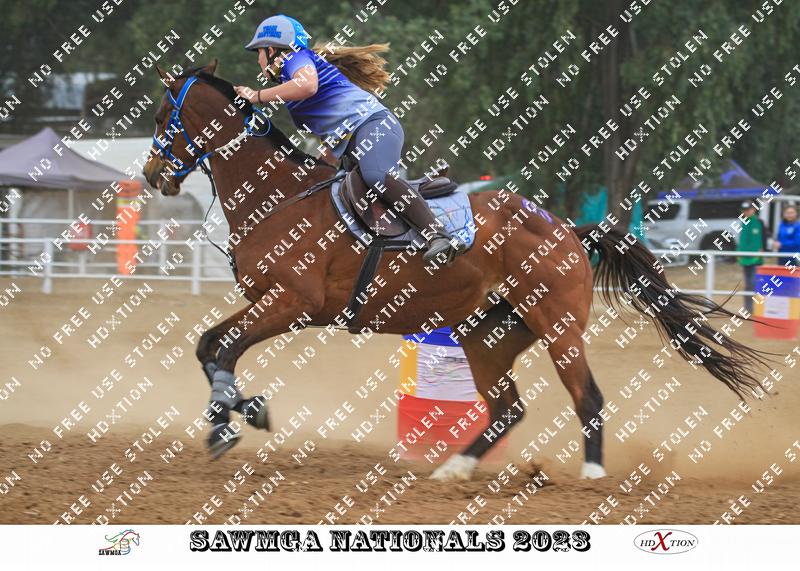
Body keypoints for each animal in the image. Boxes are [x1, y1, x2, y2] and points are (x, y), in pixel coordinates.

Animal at [143, 61, 769, 481]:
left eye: (162, 115)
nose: (153, 176)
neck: (278, 197)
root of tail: (569, 227)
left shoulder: (291, 304)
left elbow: (223, 348)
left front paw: (233, 417)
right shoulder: (269, 303)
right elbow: (209, 345)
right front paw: (233, 412)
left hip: (558, 327)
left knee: (587, 397)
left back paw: (591, 477)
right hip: (487, 333)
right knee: (507, 408)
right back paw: (453, 470)